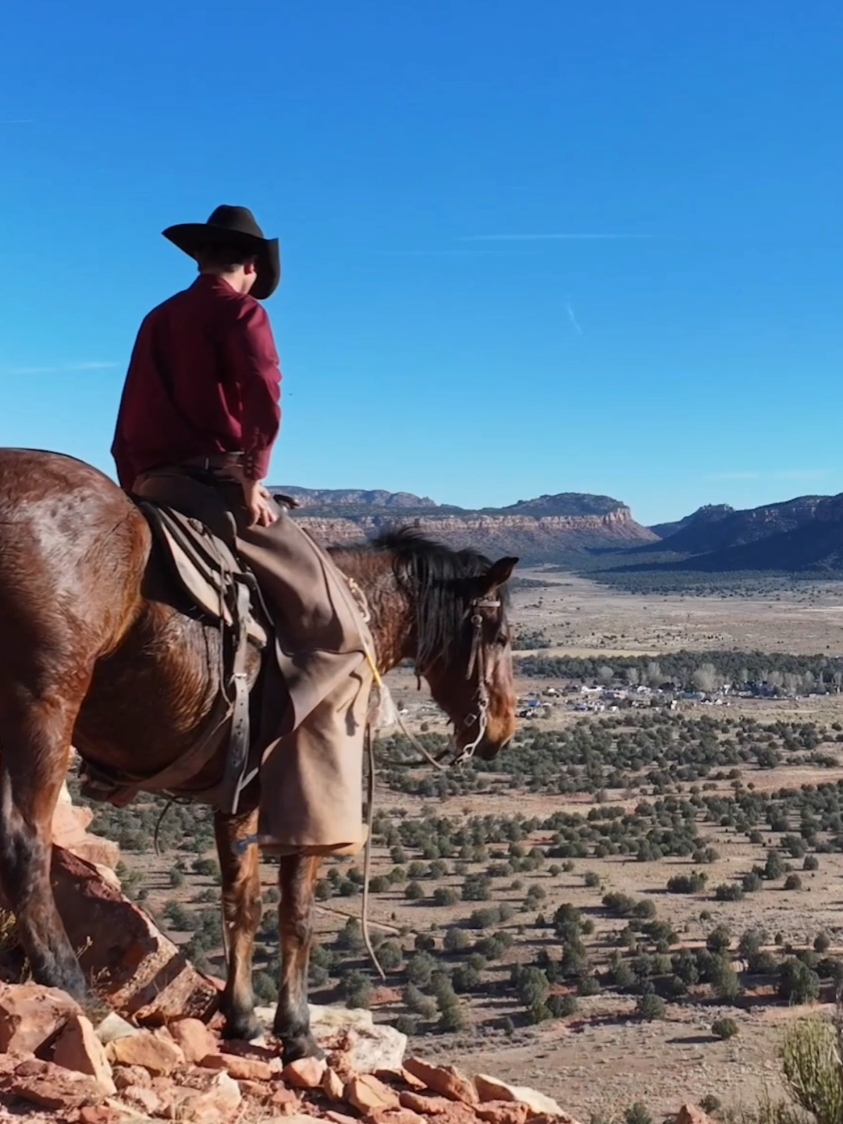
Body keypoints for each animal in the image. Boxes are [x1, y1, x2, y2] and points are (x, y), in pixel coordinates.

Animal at [0, 445, 519, 1052]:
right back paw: (70, 986)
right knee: (25, 843)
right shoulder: (308, 801)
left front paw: (243, 1017)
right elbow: (297, 911)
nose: (503, 728)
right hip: (42, 704)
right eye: (501, 637)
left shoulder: (237, 797)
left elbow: (240, 903)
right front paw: (296, 1031)